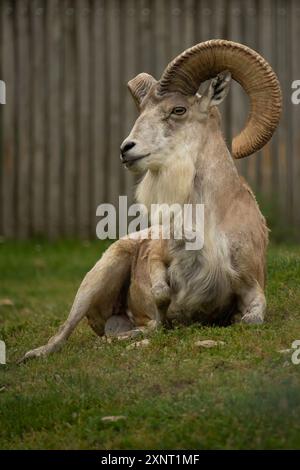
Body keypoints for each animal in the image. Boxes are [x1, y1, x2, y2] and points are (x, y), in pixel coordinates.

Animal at [21, 41, 282, 364]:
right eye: (142, 111)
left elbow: (251, 319)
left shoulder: (252, 287)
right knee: (64, 333)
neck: (208, 227)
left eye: (178, 109)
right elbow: (160, 294)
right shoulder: (158, 256)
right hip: (97, 278)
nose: (126, 149)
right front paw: (162, 321)